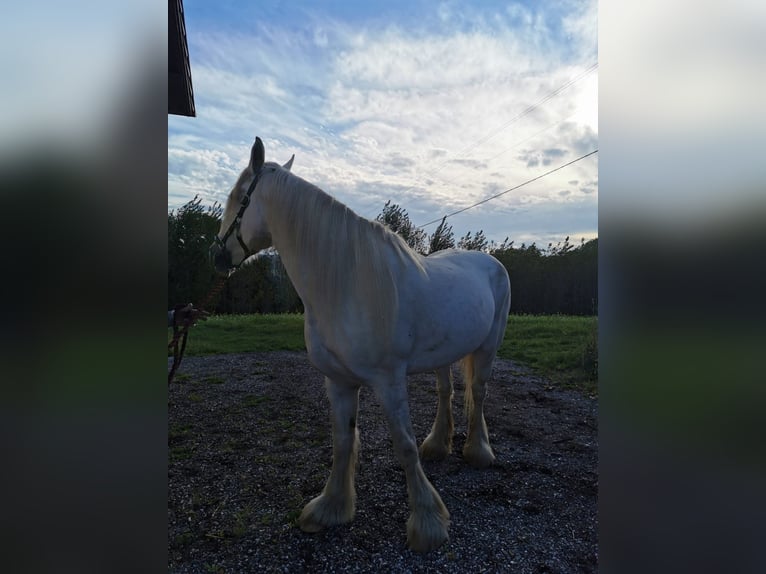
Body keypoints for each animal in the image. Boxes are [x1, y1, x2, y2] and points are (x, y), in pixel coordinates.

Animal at [210, 137, 511, 552]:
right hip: (444, 354)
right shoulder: (338, 382)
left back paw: (478, 452)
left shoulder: (389, 381)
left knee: (478, 394)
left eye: (239, 197)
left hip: (487, 347)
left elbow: (404, 445)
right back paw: (438, 445)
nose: (217, 254)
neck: (348, 285)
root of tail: (490, 262)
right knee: (445, 391)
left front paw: (427, 523)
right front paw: (330, 509)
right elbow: (342, 442)